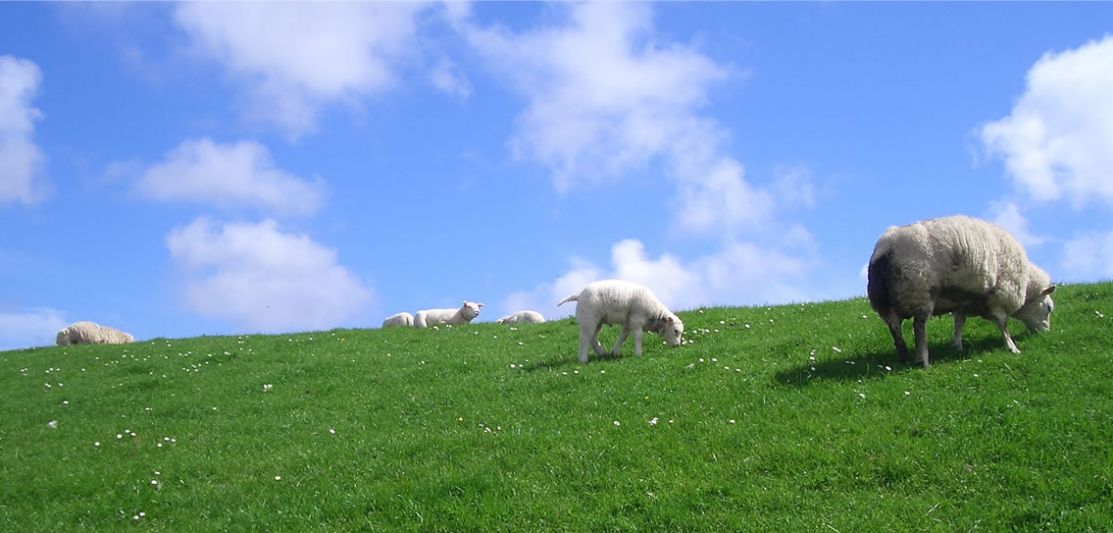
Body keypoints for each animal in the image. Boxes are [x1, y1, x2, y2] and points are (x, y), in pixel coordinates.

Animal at [863, 214, 1055, 369]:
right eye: (1048, 308)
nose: (1046, 333)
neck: (1026, 285)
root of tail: (883, 247)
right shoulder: (999, 295)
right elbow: (1002, 324)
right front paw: (1011, 347)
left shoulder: (962, 301)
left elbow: (959, 322)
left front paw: (957, 346)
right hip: (919, 293)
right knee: (919, 327)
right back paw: (923, 361)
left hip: (886, 301)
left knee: (895, 328)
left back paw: (904, 357)